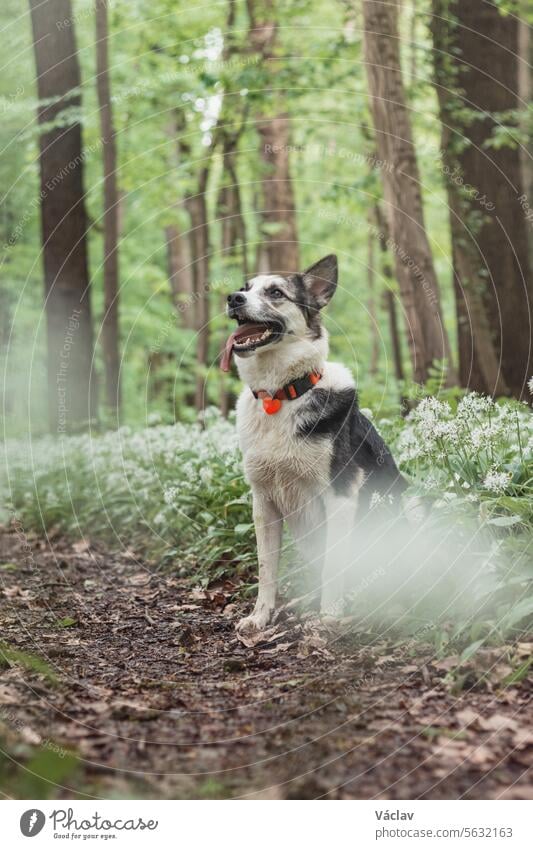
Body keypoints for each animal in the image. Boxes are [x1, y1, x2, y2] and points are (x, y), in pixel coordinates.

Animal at [220, 252, 404, 628]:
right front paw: (260, 616)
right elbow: (266, 568)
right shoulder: (263, 503)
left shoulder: (340, 497)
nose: (233, 298)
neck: (280, 395)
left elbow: (334, 566)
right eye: (246, 287)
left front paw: (328, 617)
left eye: (275, 292)